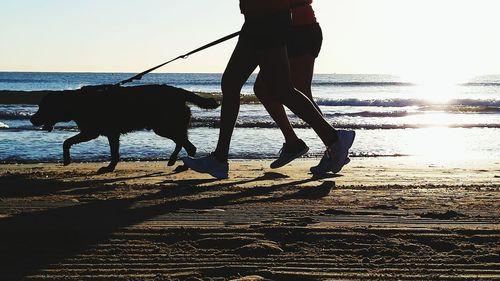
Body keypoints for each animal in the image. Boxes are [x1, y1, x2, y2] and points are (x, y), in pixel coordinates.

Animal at [30, 84, 219, 174]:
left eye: (43, 107)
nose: (32, 119)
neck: (76, 103)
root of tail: (179, 92)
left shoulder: (92, 132)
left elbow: (66, 142)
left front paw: (67, 159)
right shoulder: (111, 134)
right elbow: (114, 153)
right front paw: (110, 167)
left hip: (163, 126)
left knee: (188, 144)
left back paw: (182, 164)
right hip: (166, 126)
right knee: (184, 142)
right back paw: (175, 160)